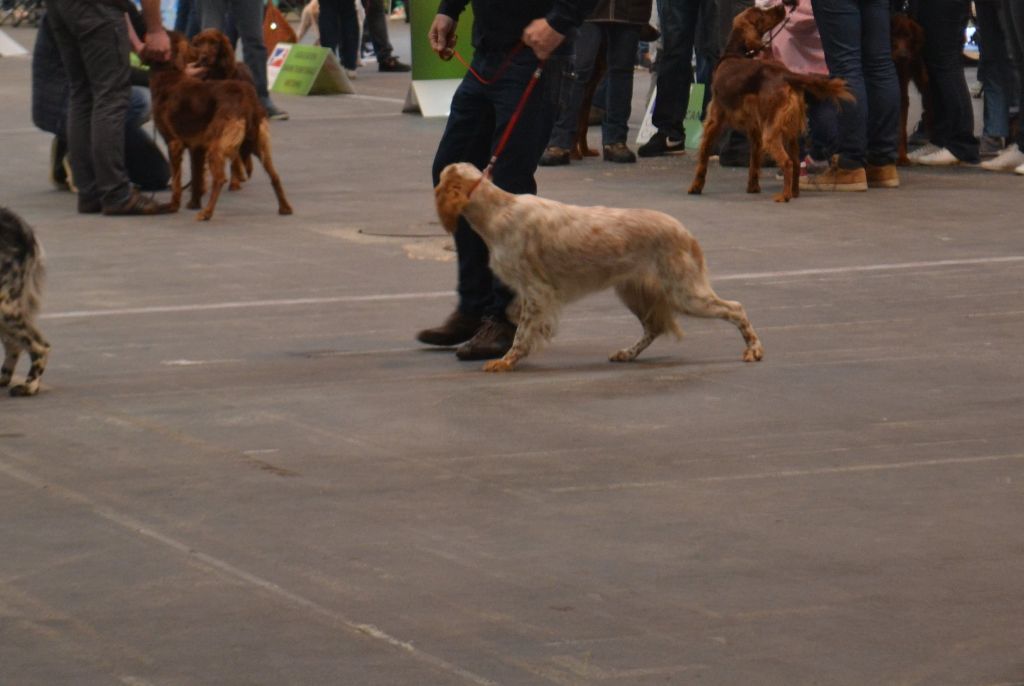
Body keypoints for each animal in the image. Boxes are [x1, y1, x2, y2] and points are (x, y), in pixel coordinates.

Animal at [149, 33, 292, 220]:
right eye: (194, 45)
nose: (201, 58)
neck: (170, 75)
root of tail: (247, 97)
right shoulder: (197, 146)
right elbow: (196, 176)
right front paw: (193, 203)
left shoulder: (174, 143)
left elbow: (177, 180)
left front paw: (173, 206)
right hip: (258, 143)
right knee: (274, 175)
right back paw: (285, 208)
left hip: (218, 143)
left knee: (220, 178)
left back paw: (206, 213)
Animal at [436, 162, 765, 370]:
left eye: (439, 179)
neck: (498, 210)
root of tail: (685, 231)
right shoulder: (531, 293)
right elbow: (513, 314)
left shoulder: (537, 290)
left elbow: (521, 333)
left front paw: (505, 360)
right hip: (635, 292)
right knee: (653, 327)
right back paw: (627, 354)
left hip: (684, 293)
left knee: (735, 308)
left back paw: (754, 349)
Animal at [692, 6, 851, 204]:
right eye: (761, 13)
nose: (782, 7)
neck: (734, 54)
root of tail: (786, 74)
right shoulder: (754, 129)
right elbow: (754, 161)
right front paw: (753, 187)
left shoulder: (714, 121)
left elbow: (703, 157)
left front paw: (695, 187)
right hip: (790, 132)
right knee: (796, 163)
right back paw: (794, 192)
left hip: (771, 131)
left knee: (787, 162)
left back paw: (784, 196)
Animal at [892, 13, 933, 164]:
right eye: (893, 35)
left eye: (908, 36)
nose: (903, 56)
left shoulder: (901, 96)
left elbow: (901, 129)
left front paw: (902, 157)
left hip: (923, 80)